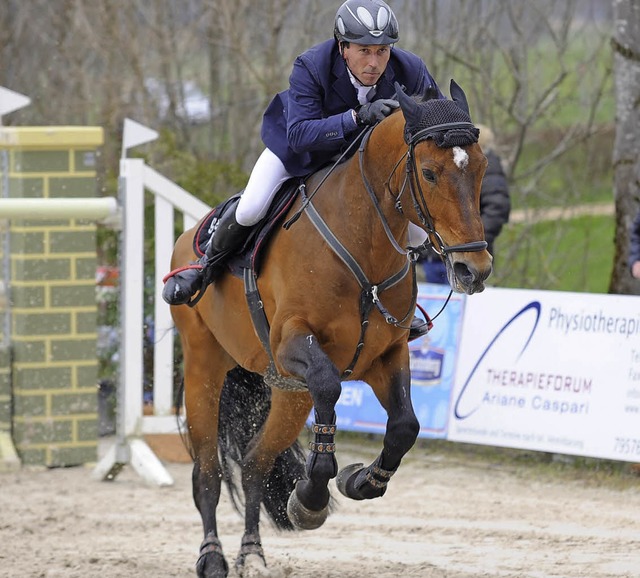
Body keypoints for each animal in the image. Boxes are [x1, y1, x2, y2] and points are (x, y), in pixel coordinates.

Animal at [168, 79, 492, 572]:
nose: (474, 270)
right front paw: (312, 497)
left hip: (287, 391)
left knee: (255, 462)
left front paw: (360, 481)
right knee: (208, 471)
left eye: (481, 168)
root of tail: (189, 235)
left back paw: (252, 554)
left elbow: (405, 426)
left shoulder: (385, 355)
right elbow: (329, 390)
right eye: (430, 172)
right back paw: (213, 558)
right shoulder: (293, 345)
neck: (365, 244)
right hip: (206, 365)